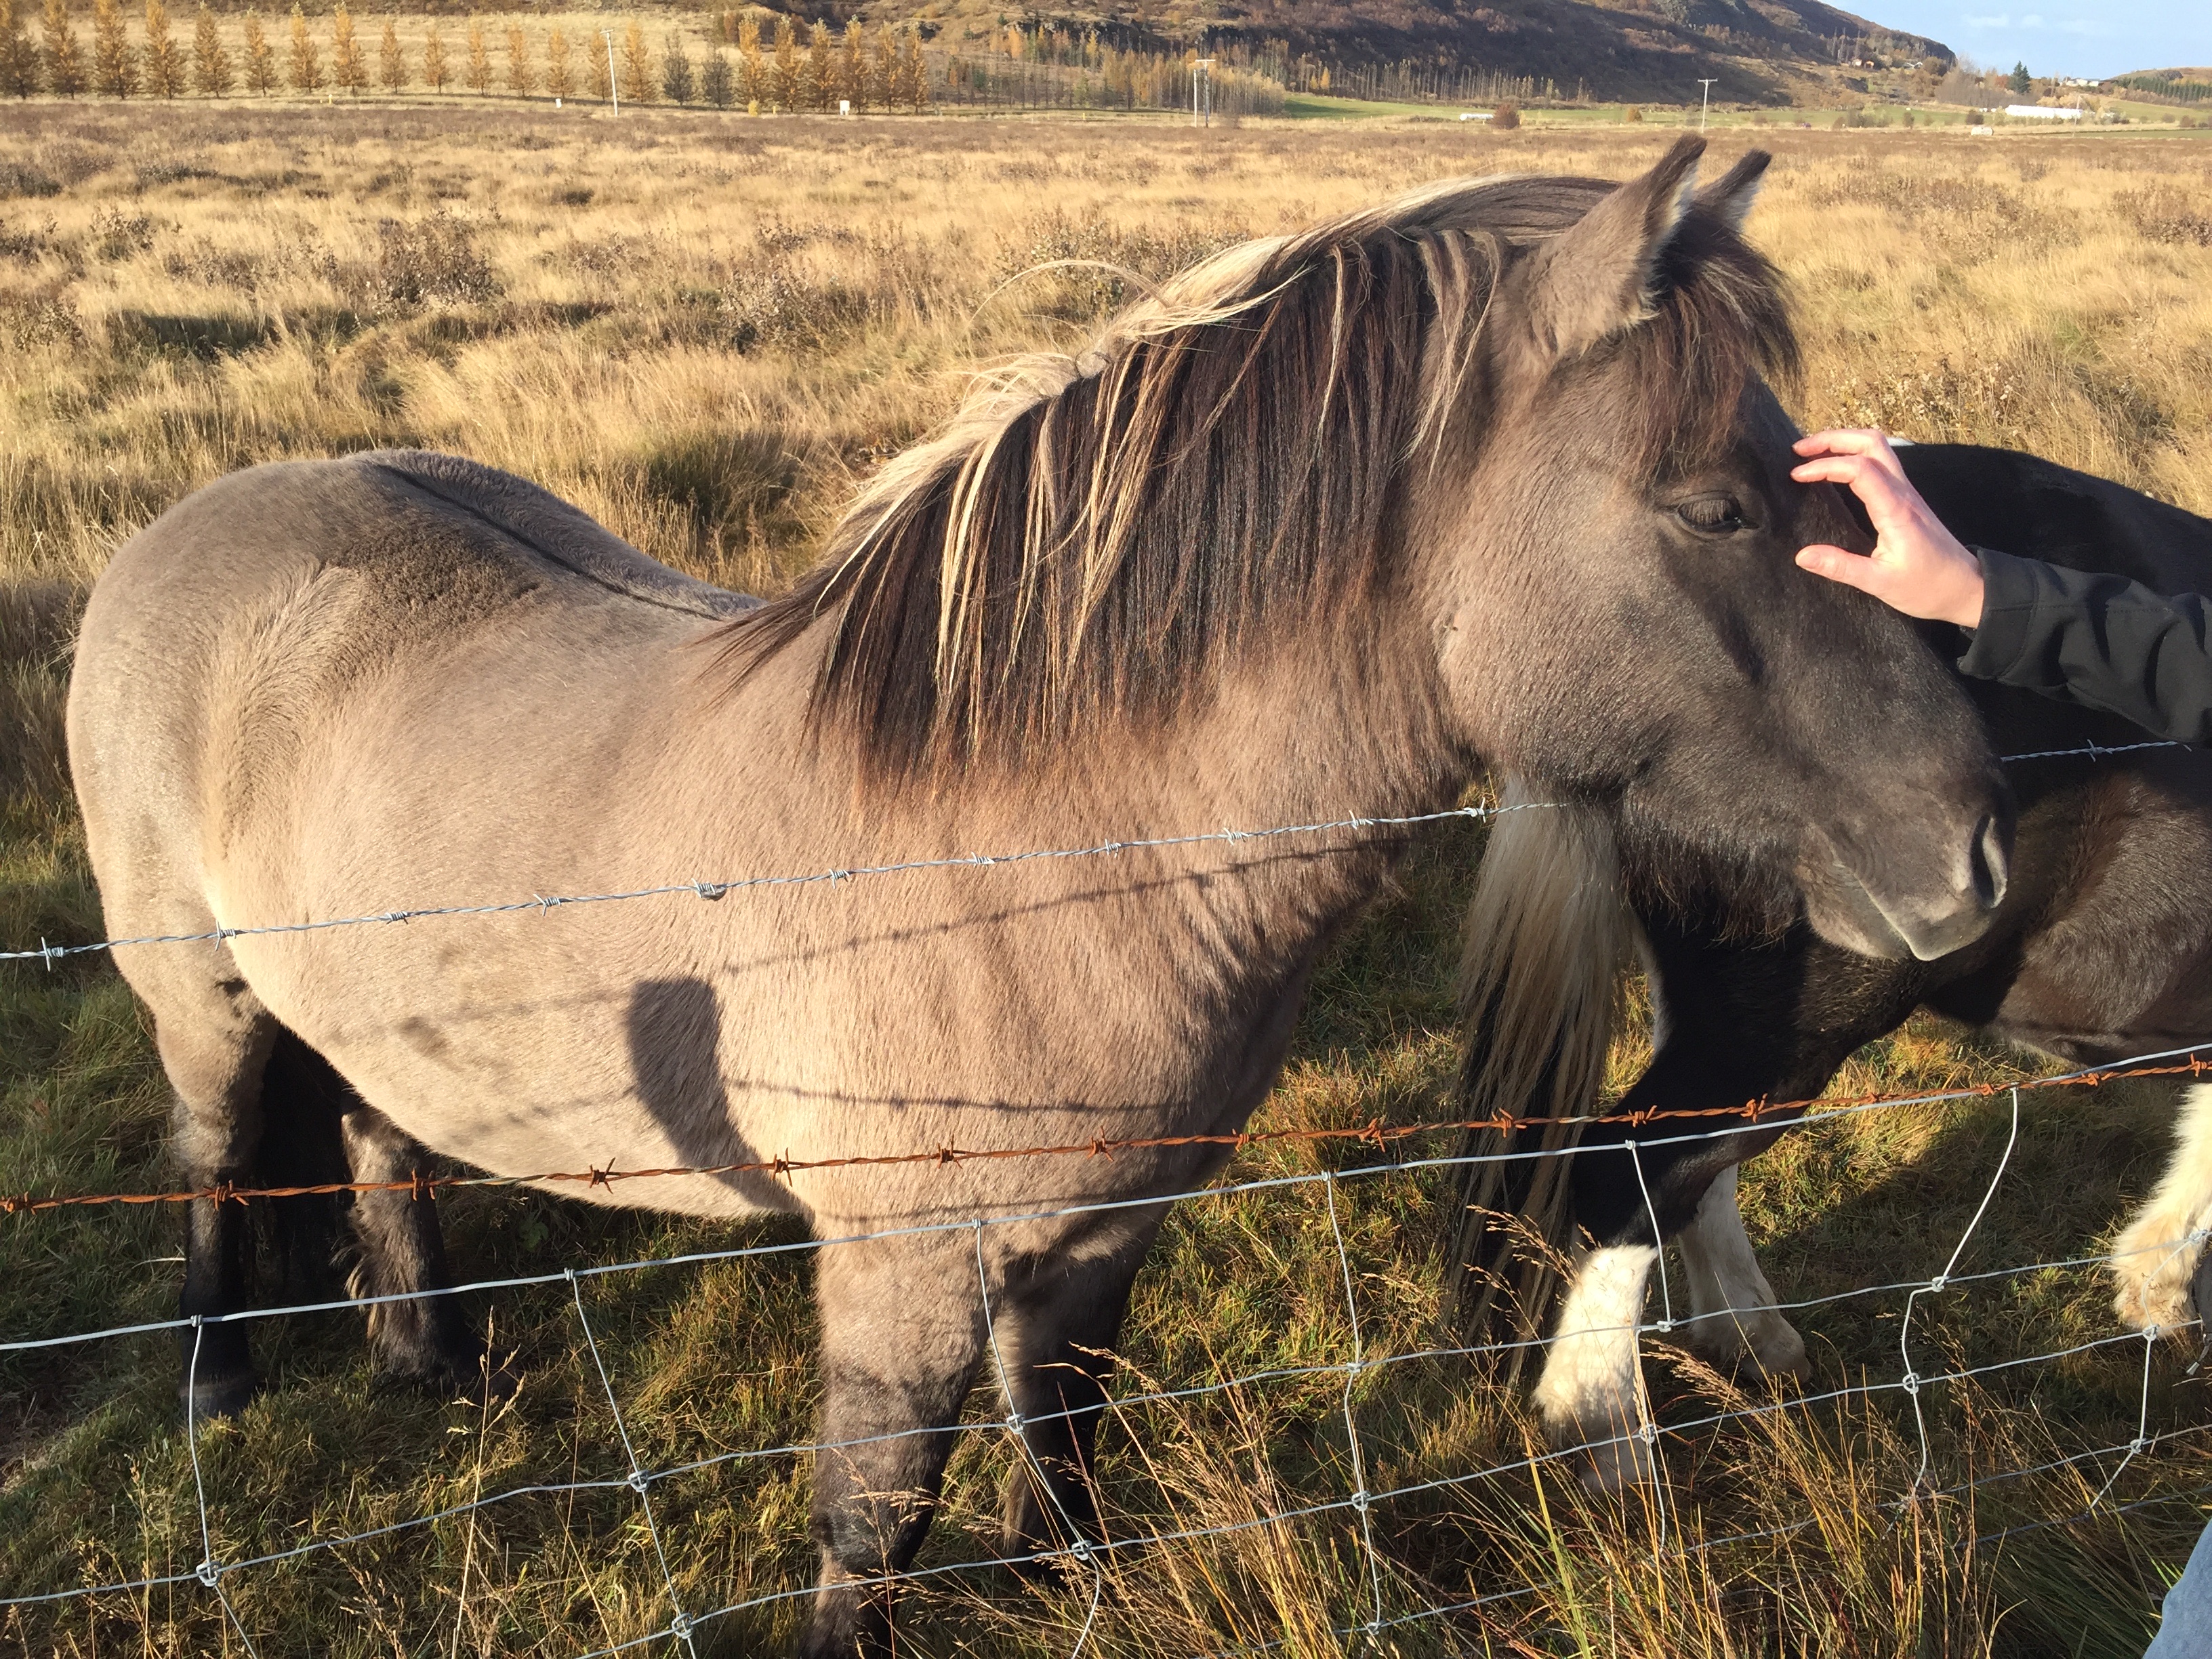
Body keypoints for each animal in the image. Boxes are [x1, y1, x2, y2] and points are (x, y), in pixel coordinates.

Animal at [66, 139, 2012, 1656]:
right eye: (1712, 507)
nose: (1974, 855)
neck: (1033, 857)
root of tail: (194, 522)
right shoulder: (901, 1267)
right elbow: (875, 1523)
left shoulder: (1103, 1233)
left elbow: (1067, 1454)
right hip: (202, 1001)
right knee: (217, 1152)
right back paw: (220, 1384)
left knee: (379, 1129)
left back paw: (429, 1358)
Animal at [1453, 444, 2212, 1488]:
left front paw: (2153, 1286)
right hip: (1794, 1024)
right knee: (1631, 1171)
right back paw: (1607, 1433)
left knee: (1691, 1176)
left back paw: (1746, 1339)